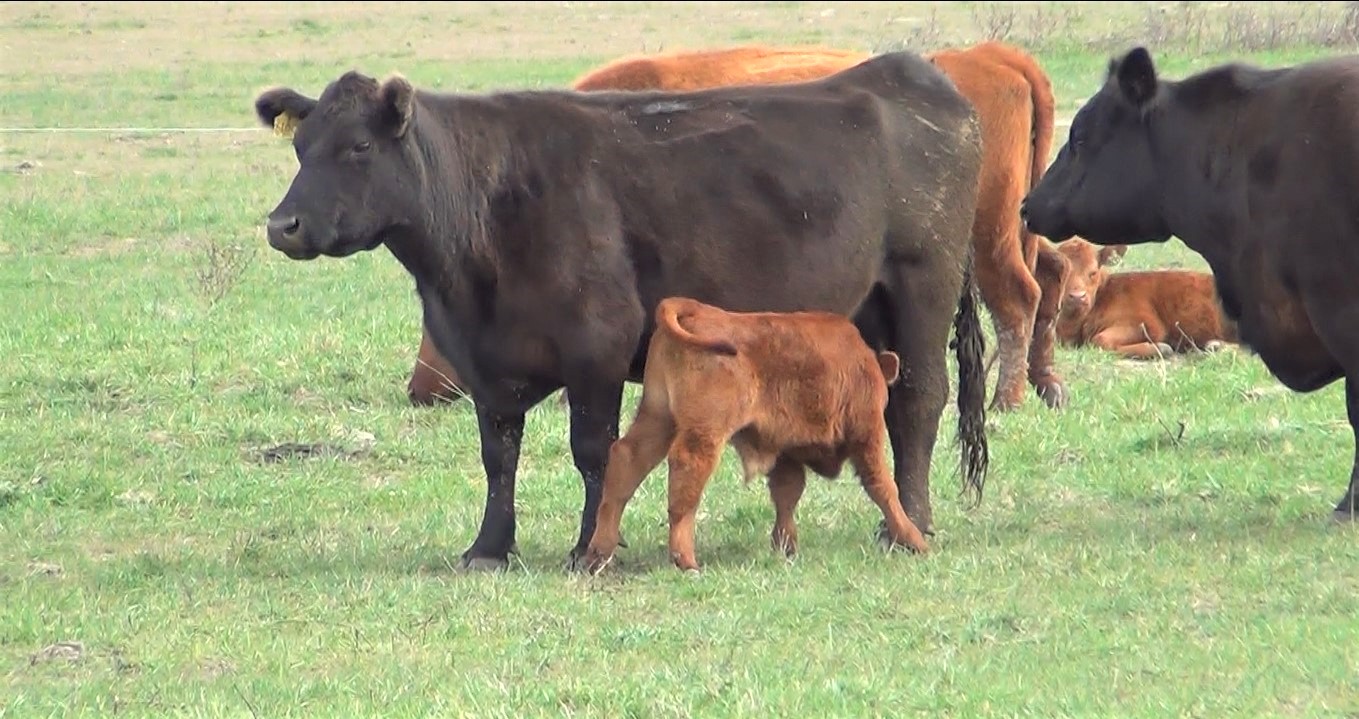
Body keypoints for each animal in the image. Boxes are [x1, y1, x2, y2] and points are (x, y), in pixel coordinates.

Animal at [578, 296, 929, 570]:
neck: (864, 362)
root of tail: (697, 310)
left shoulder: (785, 450)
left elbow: (787, 492)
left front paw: (786, 546)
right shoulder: (867, 432)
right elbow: (882, 486)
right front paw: (916, 542)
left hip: (658, 417)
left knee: (626, 460)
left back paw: (598, 553)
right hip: (704, 432)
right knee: (686, 474)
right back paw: (686, 561)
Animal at [1049, 237, 1244, 358]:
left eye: (1093, 272)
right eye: (1061, 272)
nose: (1077, 297)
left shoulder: (1145, 323)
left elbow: (1099, 340)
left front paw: (1160, 349)